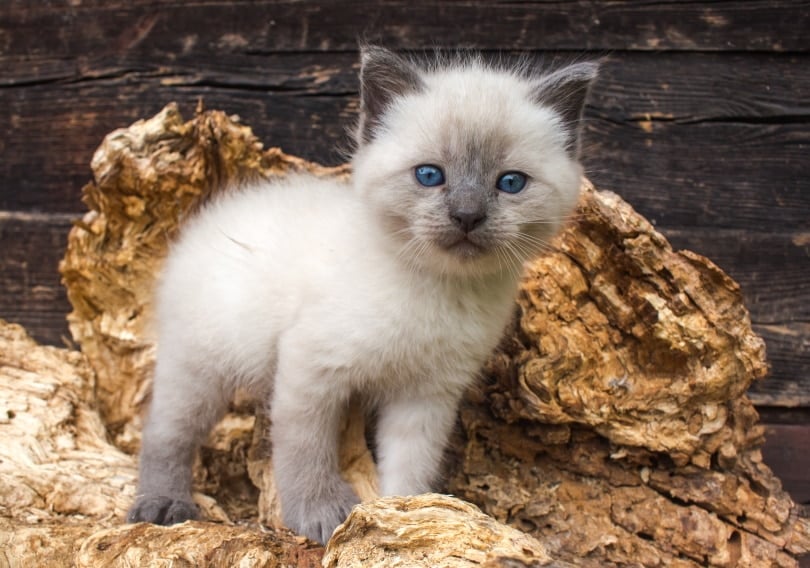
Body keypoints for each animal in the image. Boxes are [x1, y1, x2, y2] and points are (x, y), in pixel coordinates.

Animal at [124, 46, 592, 544]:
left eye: (510, 183)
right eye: (430, 175)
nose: (467, 216)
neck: (435, 287)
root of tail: (209, 218)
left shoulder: (426, 395)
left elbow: (410, 464)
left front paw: (404, 517)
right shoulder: (311, 368)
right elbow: (304, 451)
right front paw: (321, 516)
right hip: (200, 365)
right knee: (165, 432)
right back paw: (162, 506)